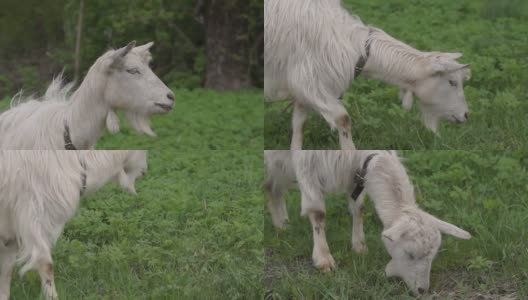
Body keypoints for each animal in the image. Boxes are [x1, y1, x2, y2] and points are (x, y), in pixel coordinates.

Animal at [0, 151, 147, 298]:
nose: (144, 171)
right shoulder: (33, 220)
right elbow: (45, 263)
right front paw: (53, 296)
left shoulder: (11, 234)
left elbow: (7, 268)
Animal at [264, 150, 470, 296]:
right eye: (410, 254)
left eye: (433, 255)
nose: (422, 290)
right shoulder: (307, 164)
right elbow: (318, 213)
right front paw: (323, 259)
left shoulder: (355, 174)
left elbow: (359, 208)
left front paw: (359, 246)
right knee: (270, 186)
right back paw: (280, 224)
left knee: (276, 188)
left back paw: (283, 223)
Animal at [266, 0, 472, 150]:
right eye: (452, 82)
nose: (466, 115)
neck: (356, 47)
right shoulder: (309, 81)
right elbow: (343, 119)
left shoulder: (305, 88)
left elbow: (299, 124)